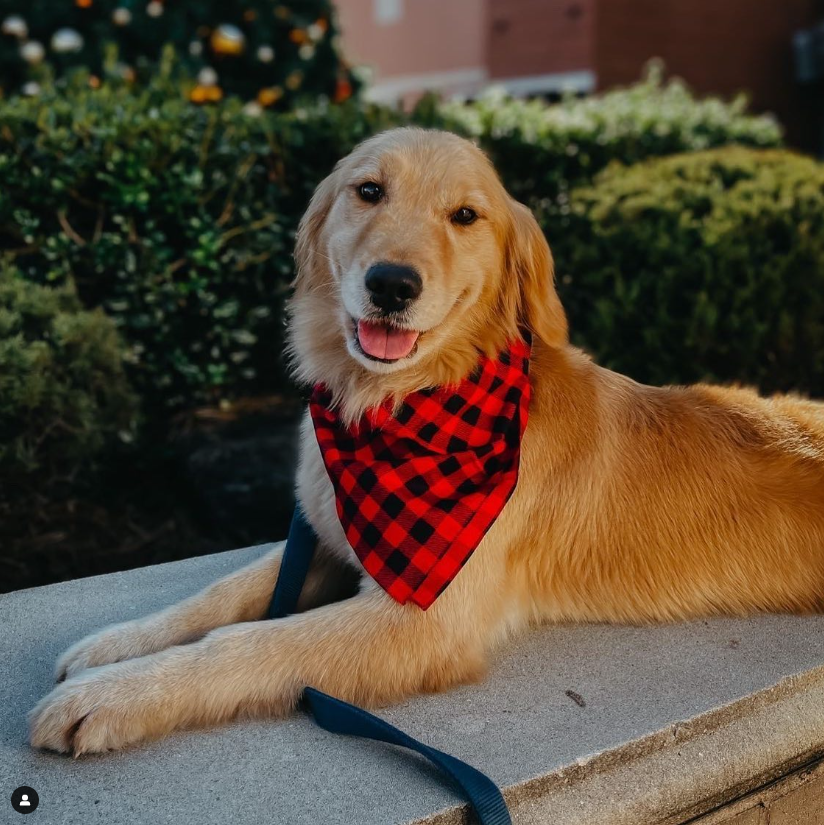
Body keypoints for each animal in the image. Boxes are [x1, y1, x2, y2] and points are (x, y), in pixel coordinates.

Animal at [29, 127, 824, 752]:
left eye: (465, 215)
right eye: (369, 191)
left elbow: (249, 641)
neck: (394, 405)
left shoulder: (423, 619)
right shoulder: (324, 537)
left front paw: (112, 694)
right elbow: (219, 596)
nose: (392, 284)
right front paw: (116, 646)